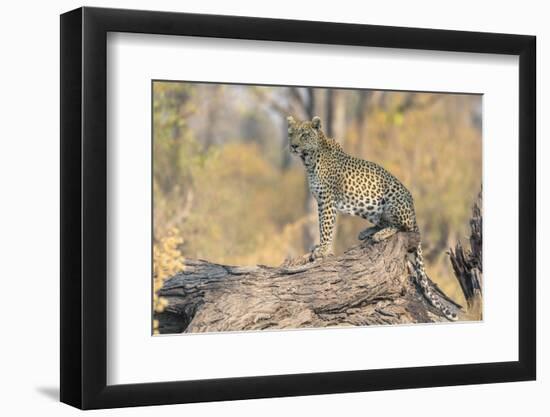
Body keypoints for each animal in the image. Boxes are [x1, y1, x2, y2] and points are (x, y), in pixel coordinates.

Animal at [292, 115, 460, 320]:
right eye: (292, 134)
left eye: (304, 135)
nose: (293, 146)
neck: (309, 160)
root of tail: (414, 213)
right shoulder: (320, 201)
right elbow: (321, 225)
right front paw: (319, 247)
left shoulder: (327, 200)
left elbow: (326, 226)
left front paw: (322, 250)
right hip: (370, 208)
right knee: (384, 222)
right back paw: (367, 232)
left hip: (392, 201)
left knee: (402, 227)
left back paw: (380, 234)